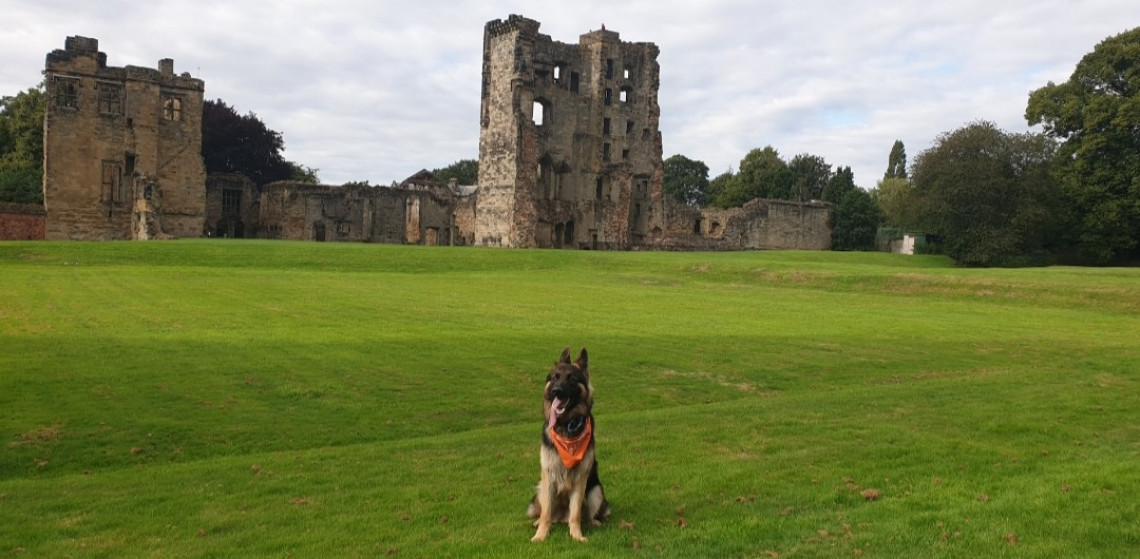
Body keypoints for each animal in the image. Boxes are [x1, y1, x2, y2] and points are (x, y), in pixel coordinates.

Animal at [526, 344, 611, 540]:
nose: (556, 390)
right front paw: (540, 535)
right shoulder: (548, 477)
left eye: (571, 379)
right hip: (541, 487)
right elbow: (546, 513)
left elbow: (576, 513)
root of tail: (561, 517)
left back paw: (593, 522)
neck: (567, 427)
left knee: (585, 514)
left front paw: (576, 536)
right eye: (555, 378)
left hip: (596, 491)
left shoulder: (581, 479)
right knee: (547, 513)